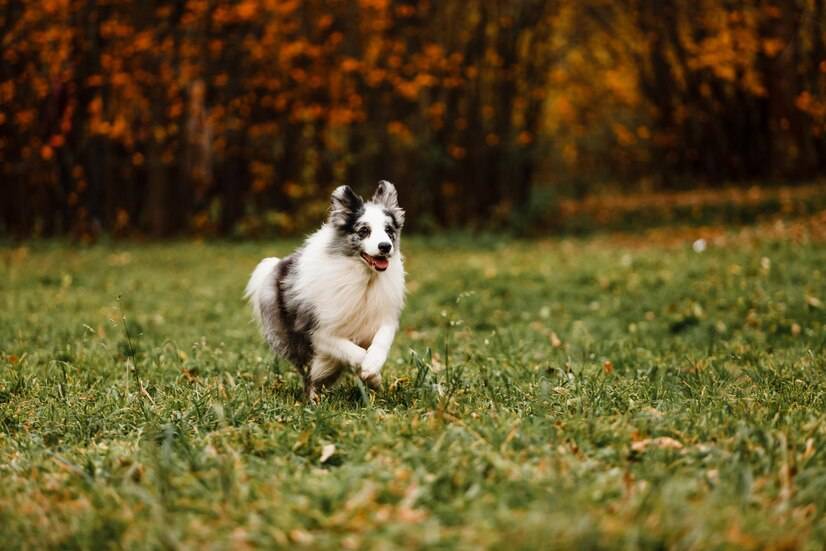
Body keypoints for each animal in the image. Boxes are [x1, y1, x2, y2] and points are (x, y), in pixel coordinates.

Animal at [245, 181, 406, 402]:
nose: (385, 246)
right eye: (364, 230)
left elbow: (381, 341)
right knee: (309, 374)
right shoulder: (318, 331)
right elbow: (352, 351)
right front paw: (368, 371)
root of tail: (277, 266)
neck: (364, 278)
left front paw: (373, 371)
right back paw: (313, 399)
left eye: (389, 230)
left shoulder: (383, 317)